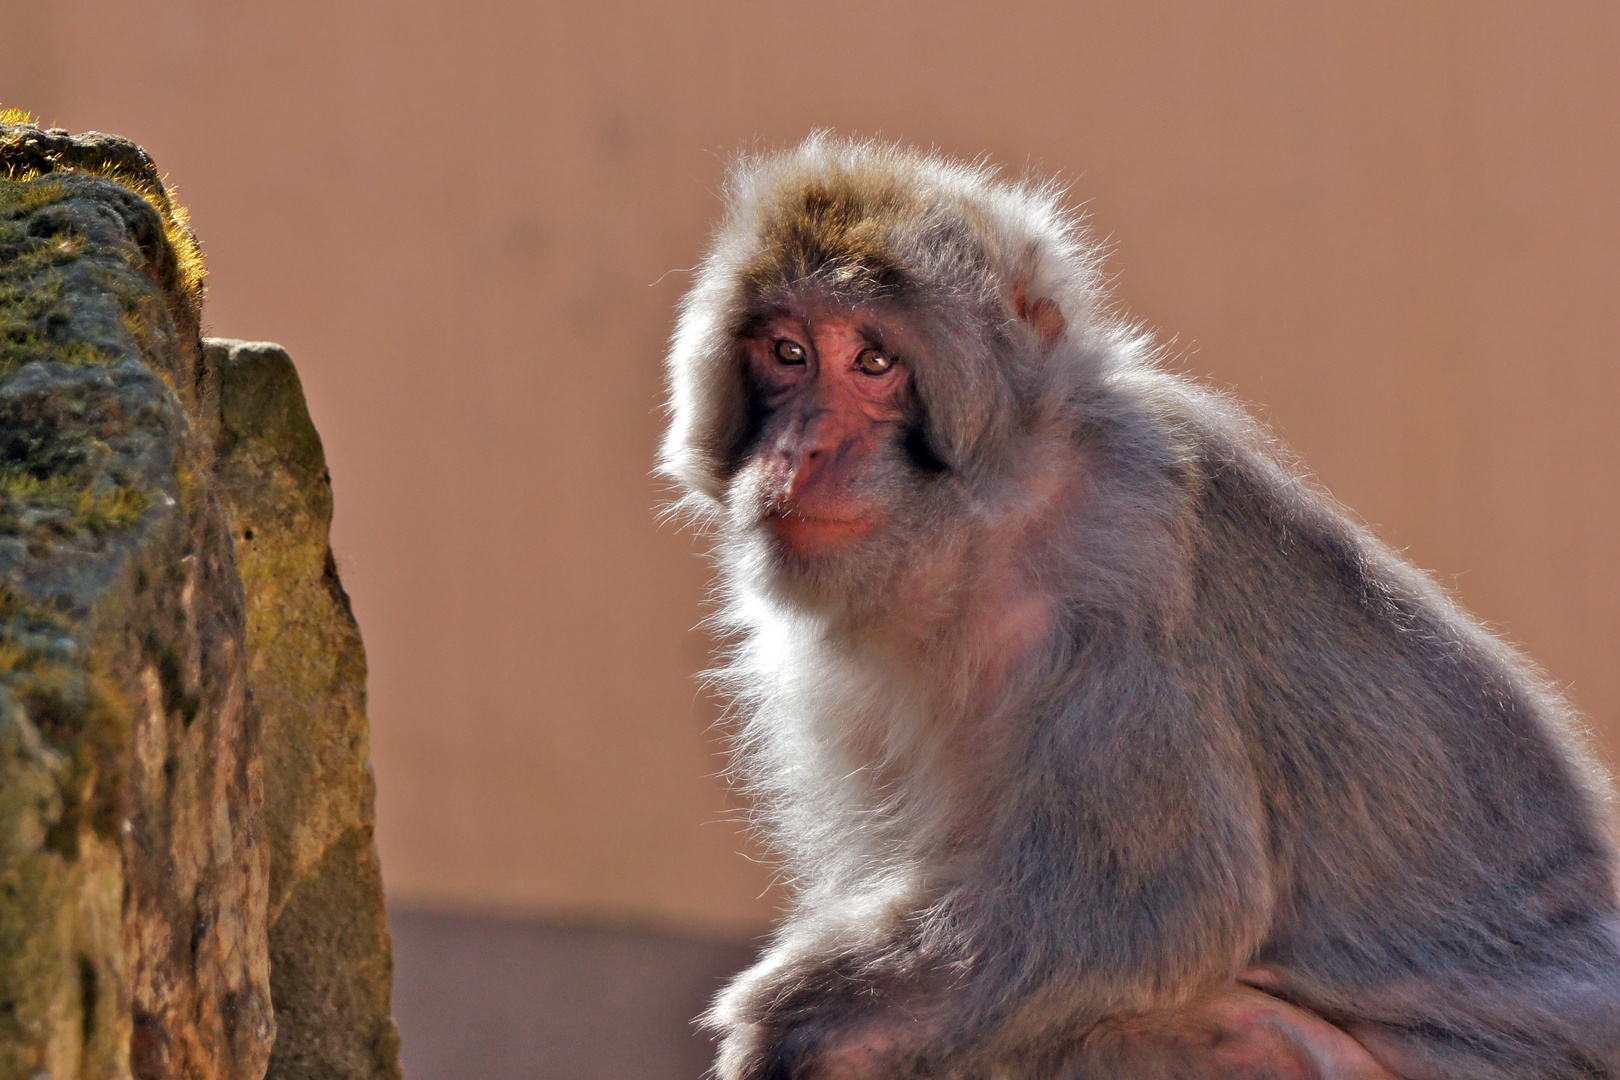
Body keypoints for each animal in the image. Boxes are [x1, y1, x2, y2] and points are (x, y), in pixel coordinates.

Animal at [654, 137, 1620, 1080]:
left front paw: (794, 1020)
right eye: (788, 355)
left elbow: (1169, 904)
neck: (982, 519)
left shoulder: (1117, 570)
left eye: (874, 362)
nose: (801, 448)